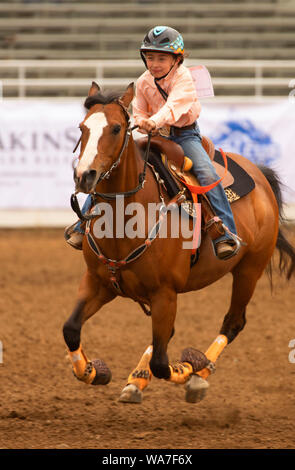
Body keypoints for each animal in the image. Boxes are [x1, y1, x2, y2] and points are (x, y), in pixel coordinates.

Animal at [63, 81, 295, 404]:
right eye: (82, 127)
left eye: (117, 128)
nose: (85, 176)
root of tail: (259, 174)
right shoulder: (99, 282)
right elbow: (71, 329)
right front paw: (94, 372)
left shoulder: (165, 292)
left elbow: (163, 363)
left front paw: (189, 367)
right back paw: (136, 381)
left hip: (250, 270)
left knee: (232, 323)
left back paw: (197, 377)